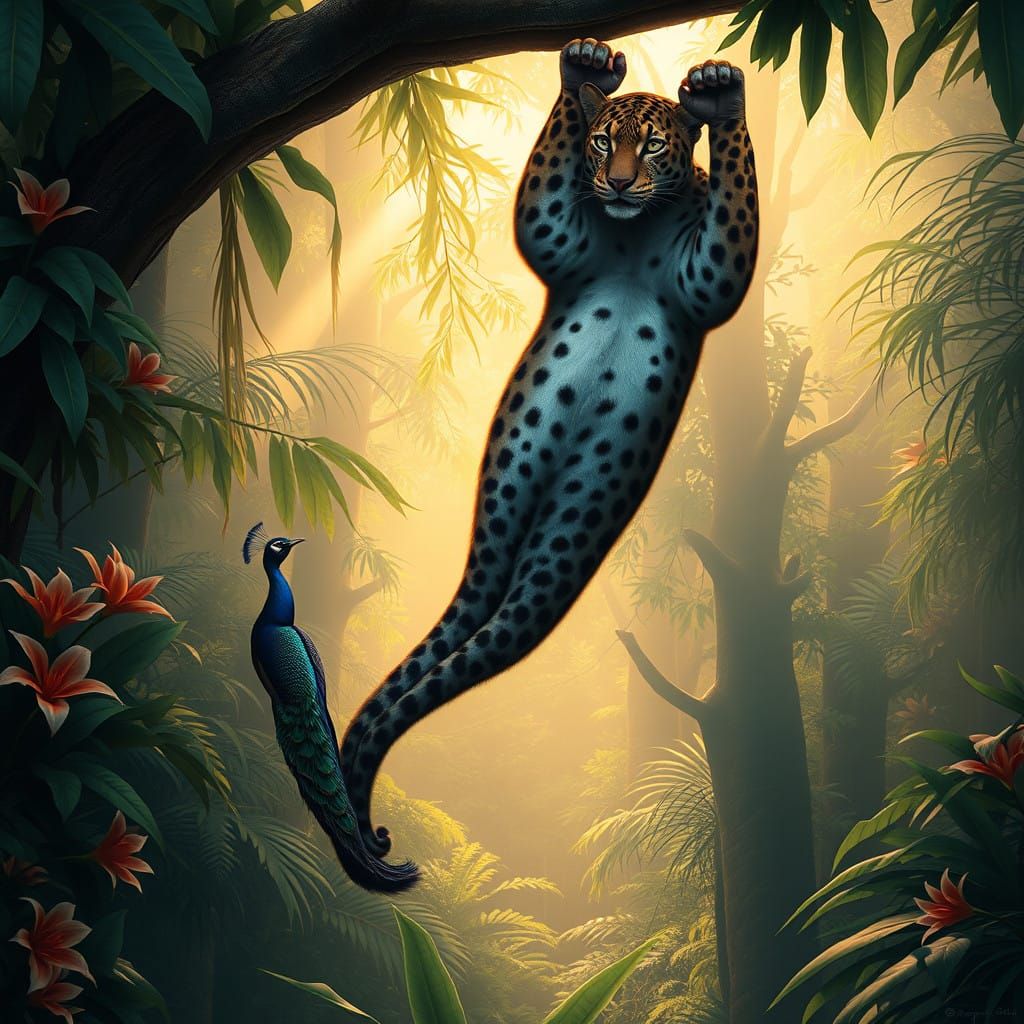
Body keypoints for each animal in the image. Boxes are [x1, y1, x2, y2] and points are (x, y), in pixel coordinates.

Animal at [339, 38, 759, 873]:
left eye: (652, 146)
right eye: (601, 143)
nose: (618, 182)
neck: (630, 236)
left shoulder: (710, 274)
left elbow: (736, 207)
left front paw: (719, 90)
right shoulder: (557, 235)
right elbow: (540, 192)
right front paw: (587, 66)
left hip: (575, 524)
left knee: (496, 624)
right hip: (507, 481)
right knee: (470, 609)